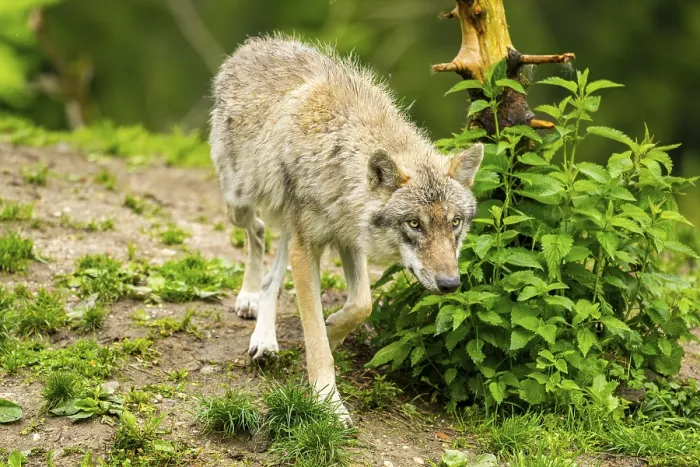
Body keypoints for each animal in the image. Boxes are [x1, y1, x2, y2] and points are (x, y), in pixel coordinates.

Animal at [209, 35, 483, 423]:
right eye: (414, 224)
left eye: (455, 223)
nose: (450, 285)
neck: (338, 154)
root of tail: (254, 45)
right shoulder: (309, 246)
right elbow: (315, 340)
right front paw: (328, 403)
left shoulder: (348, 239)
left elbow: (361, 305)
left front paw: (334, 329)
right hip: (240, 204)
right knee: (258, 232)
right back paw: (249, 300)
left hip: (288, 225)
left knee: (272, 269)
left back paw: (263, 335)